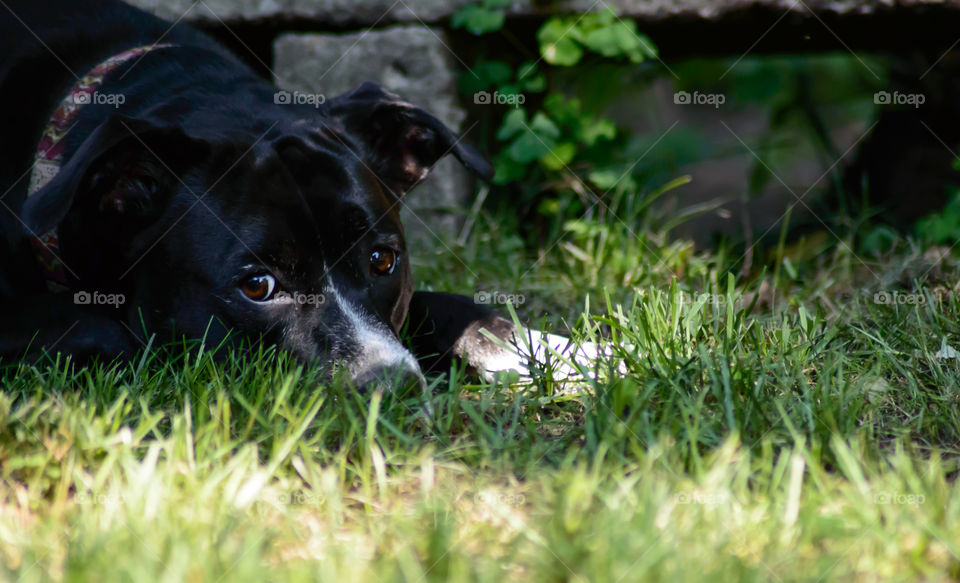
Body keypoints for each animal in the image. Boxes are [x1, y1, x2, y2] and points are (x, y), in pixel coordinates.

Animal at [0, 3, 596, 392]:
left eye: (383, 260)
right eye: (257, 286)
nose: (392, 387)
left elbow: (453, 307)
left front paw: (578, 354)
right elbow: (109, 330)